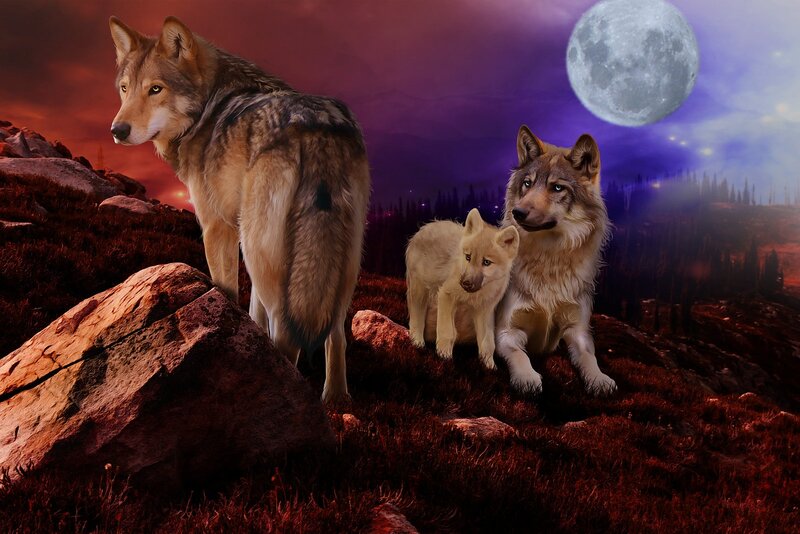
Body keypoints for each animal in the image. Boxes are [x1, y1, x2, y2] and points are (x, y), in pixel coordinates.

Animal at [108, 16, 370, 403]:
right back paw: (335, 402)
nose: (118, 130)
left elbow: (227, 294)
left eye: (155, 89)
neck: (208, 106)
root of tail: (315, 127)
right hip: (340, 261)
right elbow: (254, 310)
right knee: (336, 333)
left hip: (263, 251)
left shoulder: (218, 227)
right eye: (125, 89)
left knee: (288, 334)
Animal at [406, 208, 519, 369]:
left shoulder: (485, 310)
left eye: (486, 262)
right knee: (416, 318)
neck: (474, 295)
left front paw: (489, 366)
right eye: (468, 257)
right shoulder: (446, 296)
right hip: (419, 291)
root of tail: (424, 227)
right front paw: (444, 356)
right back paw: (418, 343)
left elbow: (487, 342)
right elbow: (447, 331)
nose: (465, 283)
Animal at [495, 125, 616, 395]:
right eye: (527, 184)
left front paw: (599, 379)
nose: (518, 212)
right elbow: (520, 354)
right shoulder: (506, 331)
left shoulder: (578, 330)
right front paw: (527, 377)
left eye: (557, 188)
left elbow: (589, 357)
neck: (549, 257)